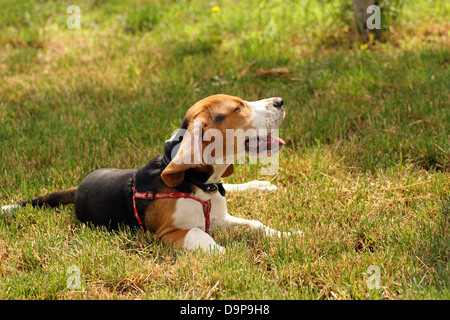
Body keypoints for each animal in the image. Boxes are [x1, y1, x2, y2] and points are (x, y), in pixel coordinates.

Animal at [3, 94, 300, 251]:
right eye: (238, 107)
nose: (280, 101)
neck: (201, 184)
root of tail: (78, 187)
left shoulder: (220, 217)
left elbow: (256, 224)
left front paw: (286, 236)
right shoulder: (170, 233)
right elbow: (202, 236)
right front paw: (228, 255)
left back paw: (259, 185)